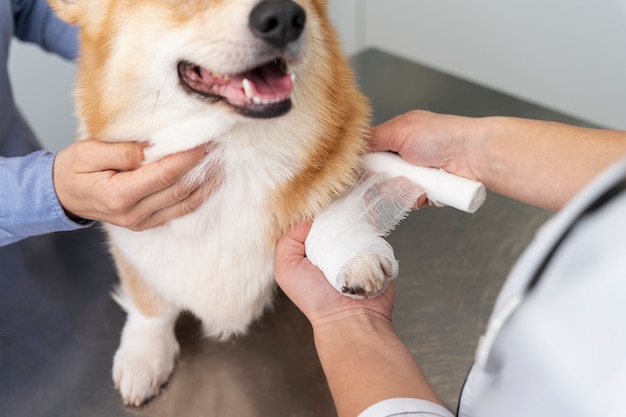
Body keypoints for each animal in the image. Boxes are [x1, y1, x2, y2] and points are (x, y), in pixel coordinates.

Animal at [48, 0, 400, 406]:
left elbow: (328, 202)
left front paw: (355, 256)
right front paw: (144, 356)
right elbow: (148, 304)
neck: (231, 151)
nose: (284, 18)